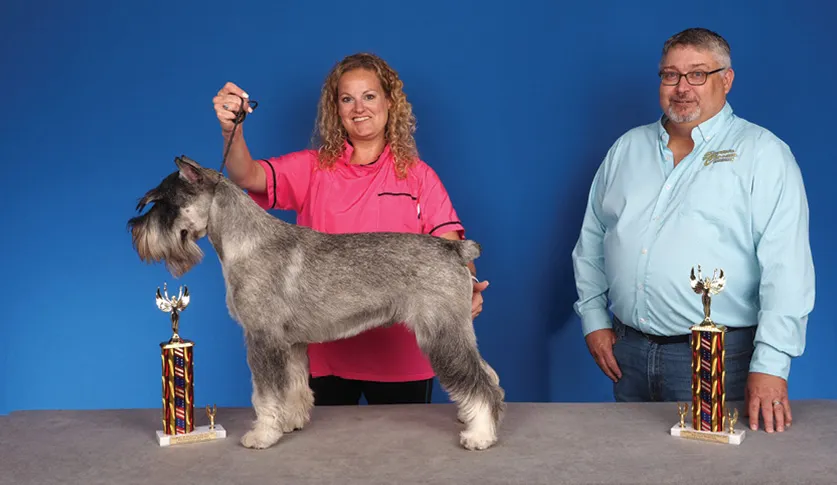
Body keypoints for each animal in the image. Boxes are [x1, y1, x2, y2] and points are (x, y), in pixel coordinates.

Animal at [127, 156, 506, 450]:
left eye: (164, 202)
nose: (134, 228)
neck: (245, 241)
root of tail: (455, 248)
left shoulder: (262, 338)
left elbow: (265, 393)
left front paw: (263, 434)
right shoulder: (290, 343)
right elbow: (294, 385)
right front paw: (290, 420)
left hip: (442, 333)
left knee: (479, 382)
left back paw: (480, 435)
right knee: (489, 374)